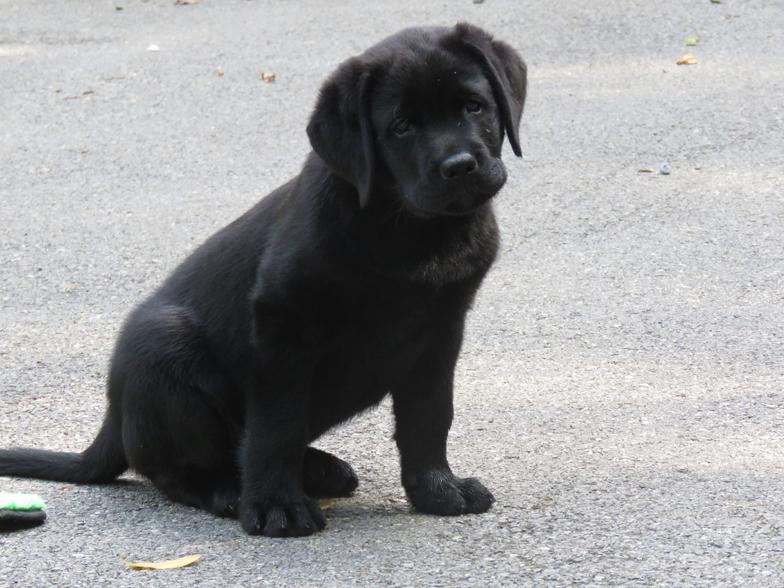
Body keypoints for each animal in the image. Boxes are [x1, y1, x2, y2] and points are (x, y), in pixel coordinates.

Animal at [1, 23, 528, 536]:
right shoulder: (282, 325)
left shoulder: (440, 331)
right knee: (172, 469)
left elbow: (430, 416)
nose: (459, 166)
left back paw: (318, 469)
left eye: (474, 106)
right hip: (164, 345)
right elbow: (277, 424)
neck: (409, 228)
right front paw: (277, 505)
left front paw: (438, 490)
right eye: (401, 126)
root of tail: (113, 419)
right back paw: (230, 490)